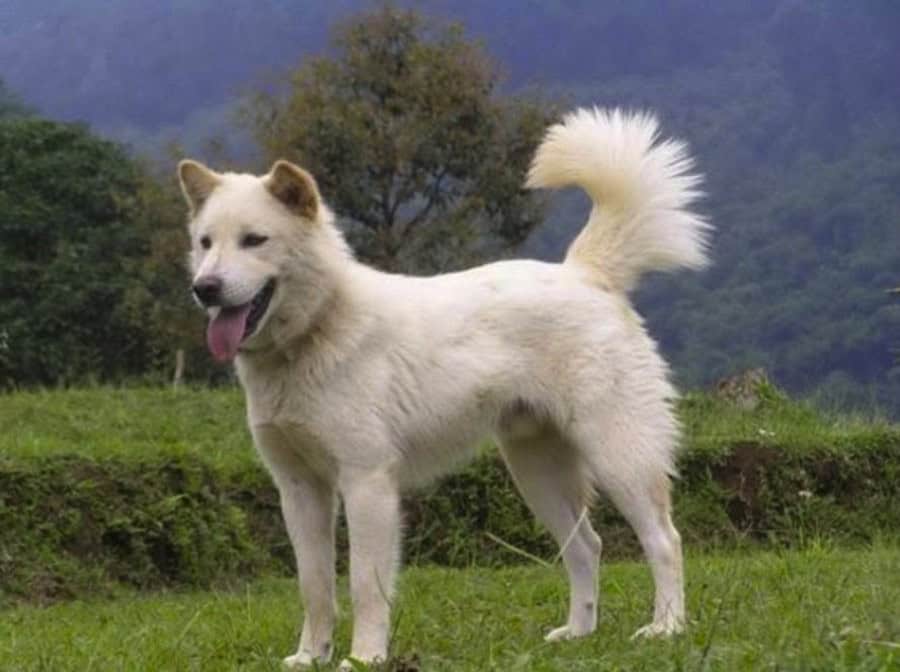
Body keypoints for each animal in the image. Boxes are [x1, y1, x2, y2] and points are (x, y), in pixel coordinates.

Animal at [178, 107, 712, 668]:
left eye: (254, 240)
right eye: (206, 243)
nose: (205, 288)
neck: (314, 331)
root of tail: (585, 272)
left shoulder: (367, 484)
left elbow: (364, 584)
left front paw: (365, 657)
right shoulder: (299, 490)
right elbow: (315, 586)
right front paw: (310, 656)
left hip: (619, 456)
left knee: (664, 540)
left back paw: (666, 627)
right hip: (536, 472)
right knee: (586, 546)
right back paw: (578, 632)